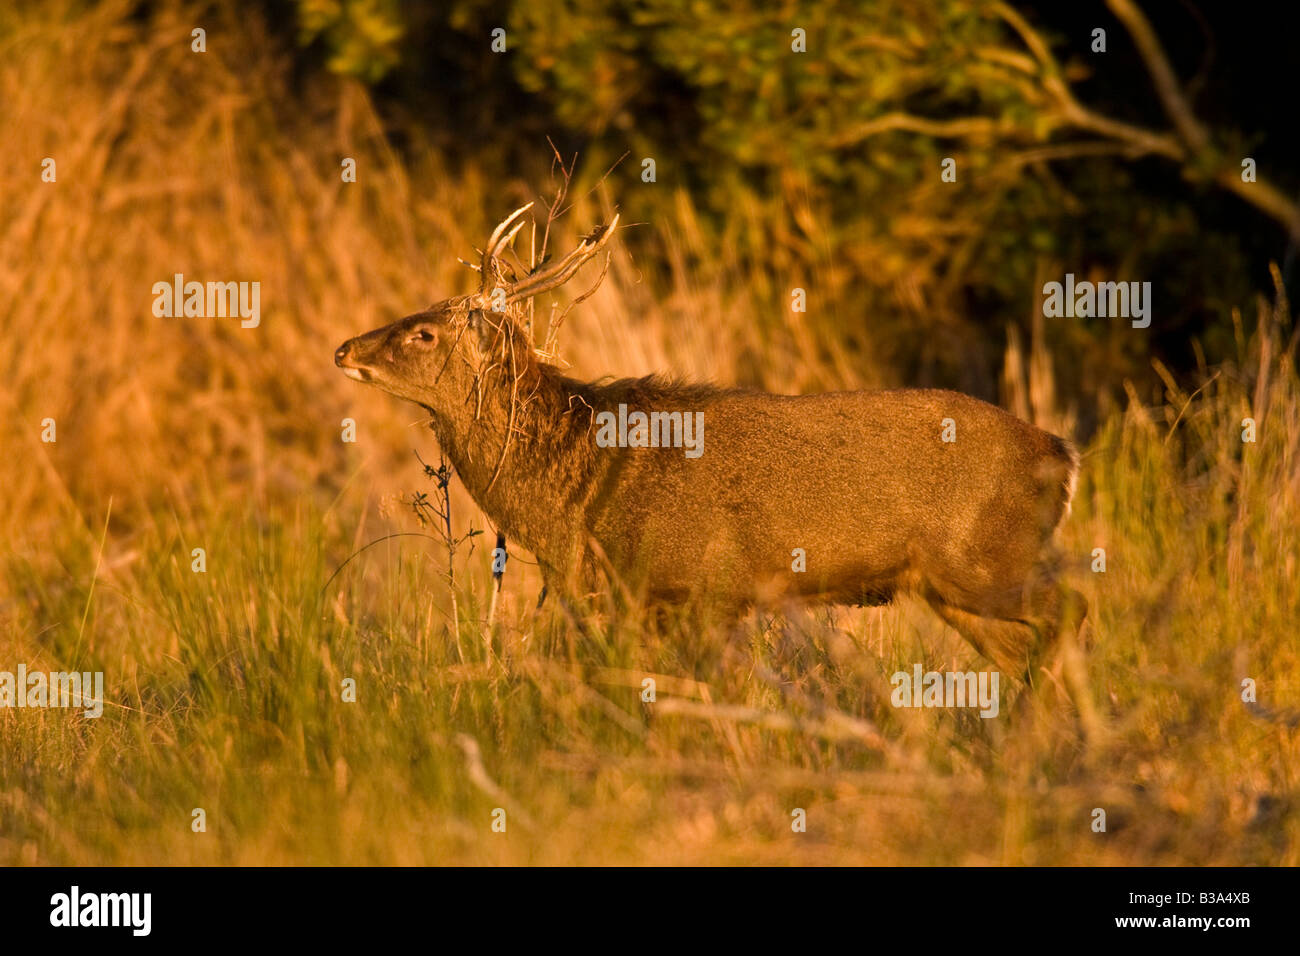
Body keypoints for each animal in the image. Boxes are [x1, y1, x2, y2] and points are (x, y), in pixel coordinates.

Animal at [335, 205, 1086, 686]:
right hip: (952, 585)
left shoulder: (703, 586)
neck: (577, 491)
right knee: (1025, 653)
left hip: (988, 557)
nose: (345, 348)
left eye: (424, 332)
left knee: (1069, 614)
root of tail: (1060, 454)